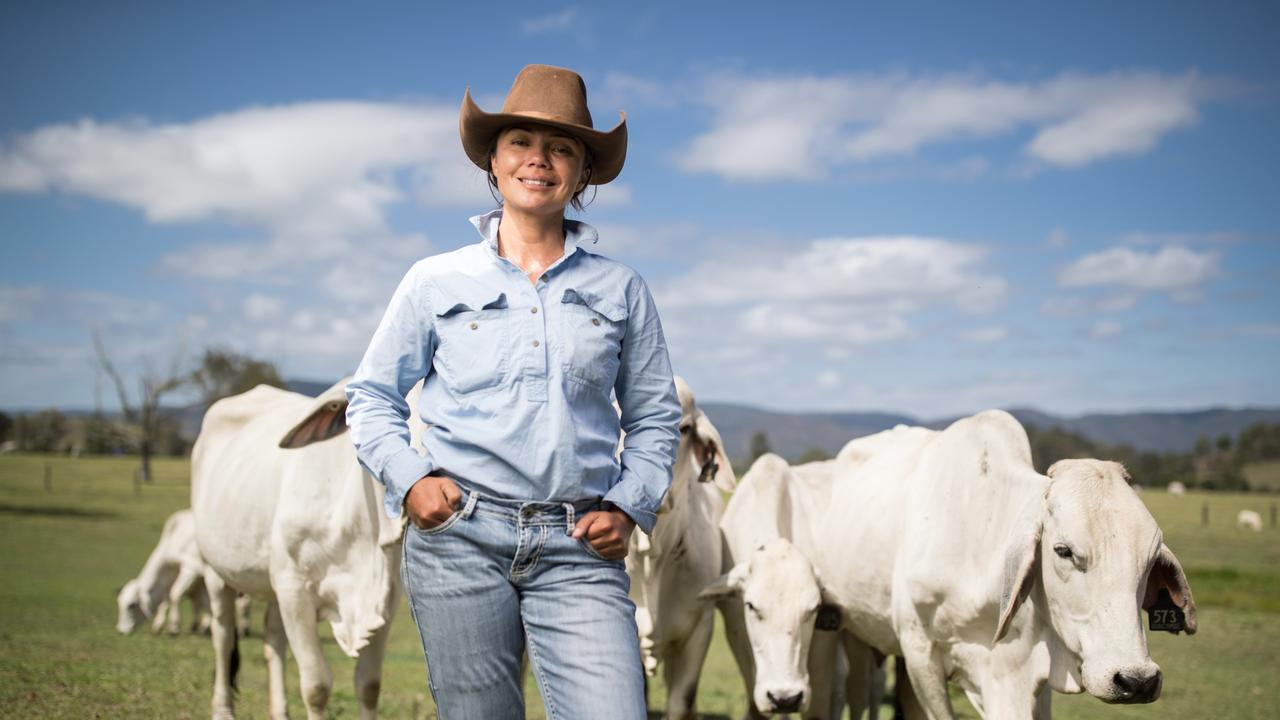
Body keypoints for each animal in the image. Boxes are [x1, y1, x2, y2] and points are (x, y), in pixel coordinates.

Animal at [190, 379, 419, 712]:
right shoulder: (294, 591)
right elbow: (316, 687)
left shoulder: (384, 601)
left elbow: (368, 685)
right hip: (216, 572)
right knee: (223, 637)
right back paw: (223, 710)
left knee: (273, 639)